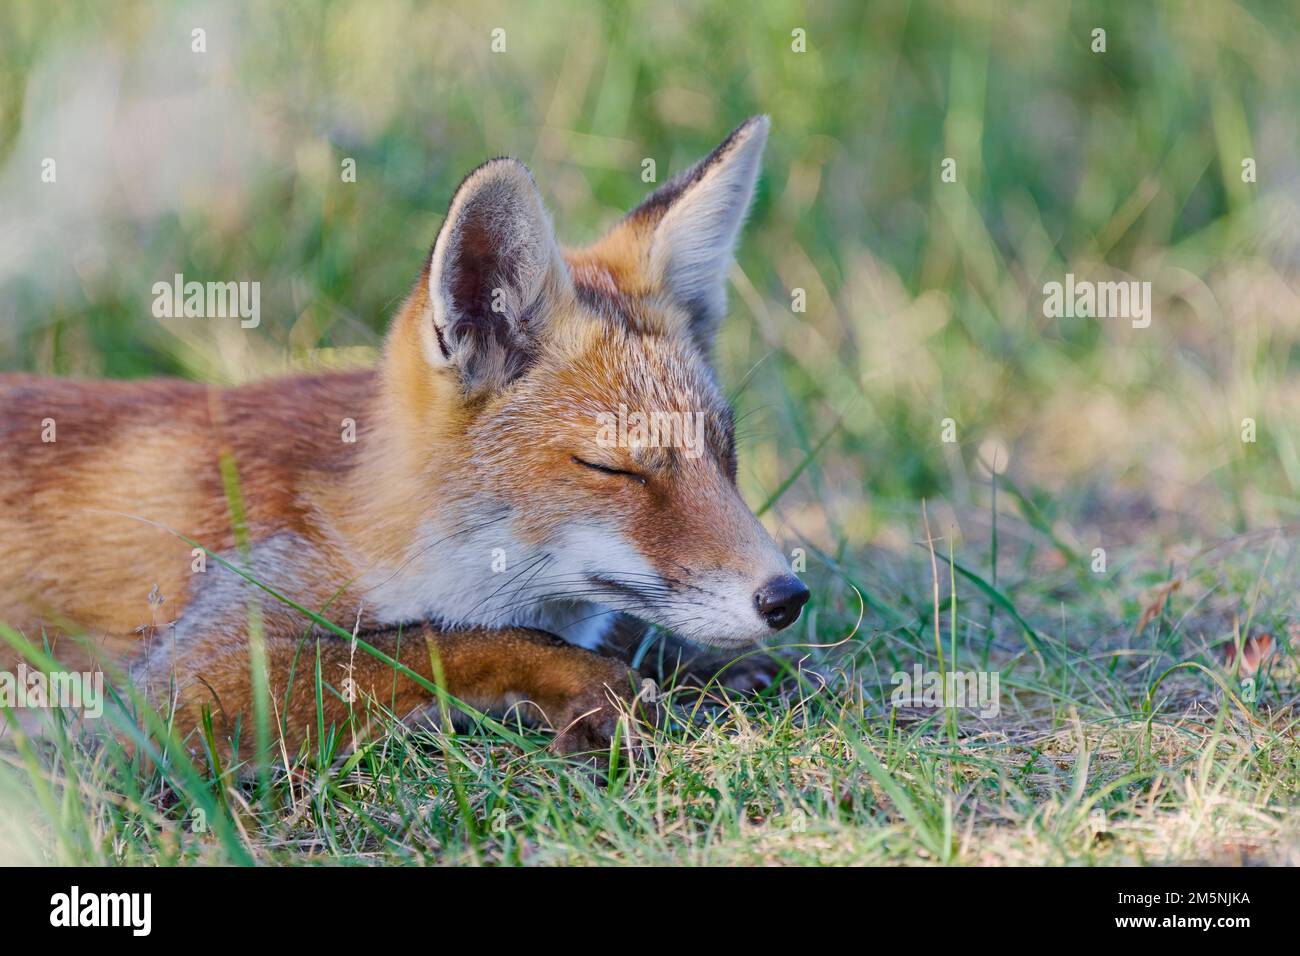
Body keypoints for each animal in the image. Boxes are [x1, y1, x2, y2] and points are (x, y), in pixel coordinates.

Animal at [0, 115, 809, 757]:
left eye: (726, 456)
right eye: (616, 469)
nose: (788, 596)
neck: (371, 518)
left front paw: (702, 664)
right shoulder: (186, 677)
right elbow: (430, 640)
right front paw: (582, 678)